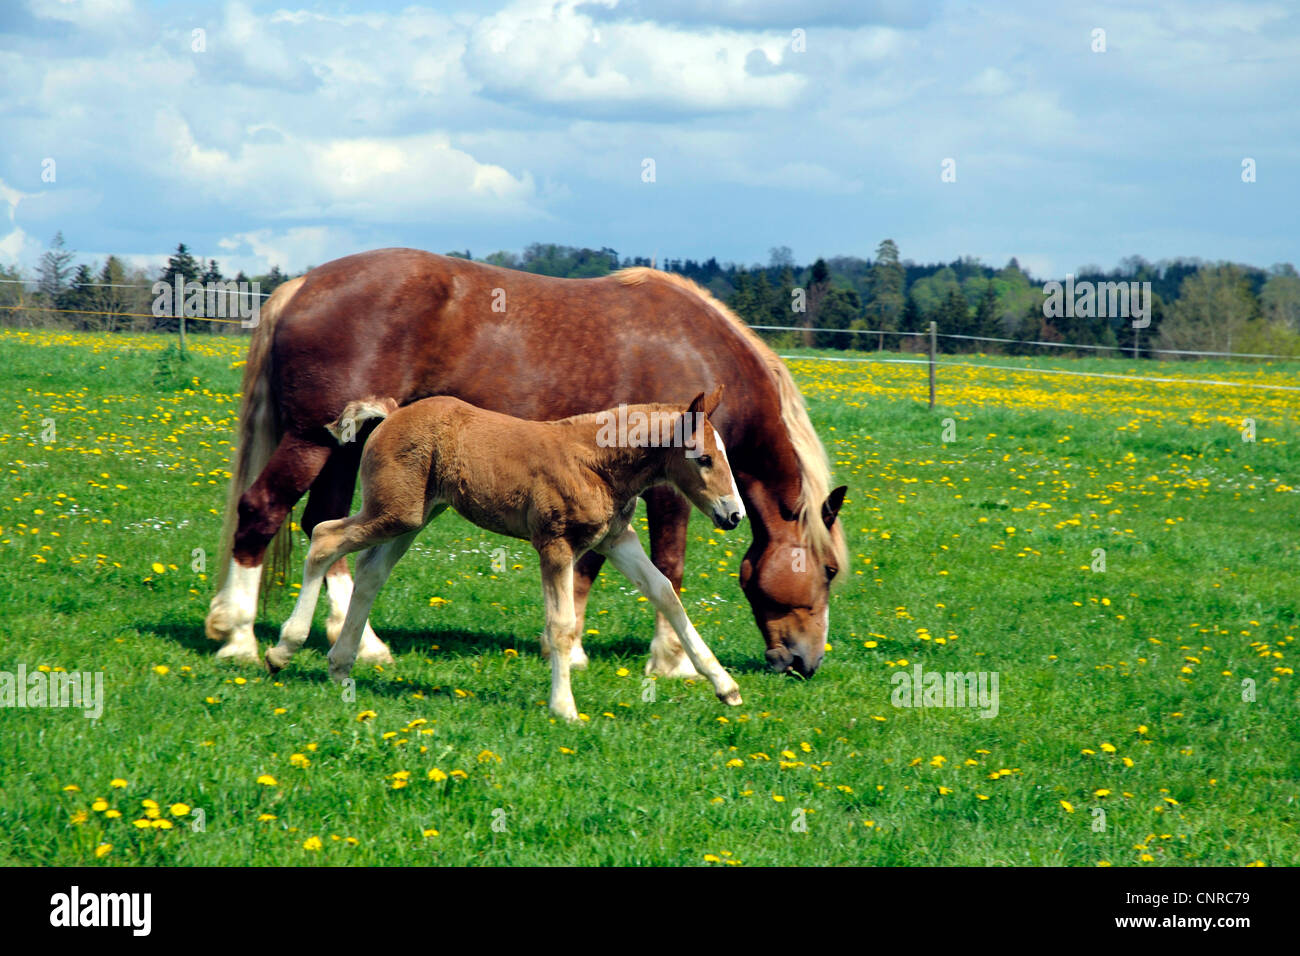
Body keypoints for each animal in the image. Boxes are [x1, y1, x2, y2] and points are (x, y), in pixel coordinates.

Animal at [205, 251, 842, 676]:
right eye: (830, 571)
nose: (806, 662)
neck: (699, 350)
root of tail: (302, 285)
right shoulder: (667, 491)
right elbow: (670, 567)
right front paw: (673, 662)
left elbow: (591, 568)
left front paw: (571, 647)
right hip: (311, 441)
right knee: (264, 511)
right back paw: (237, 636)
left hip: (347, 447)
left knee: (324, 526)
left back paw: (359, 643)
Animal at [263, 387, 748, 717]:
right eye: (704, 458)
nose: (734, 514)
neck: (596, 462)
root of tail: (393, 414)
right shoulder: (554, 544)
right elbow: (561, 625)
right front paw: (564, 707)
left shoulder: (616, 538)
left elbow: (666, 594)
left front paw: (724, 685)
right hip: (395, 511)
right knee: (324, 537)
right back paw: (283, 650)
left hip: (413, 517)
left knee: (369, 574)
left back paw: (341, 664)